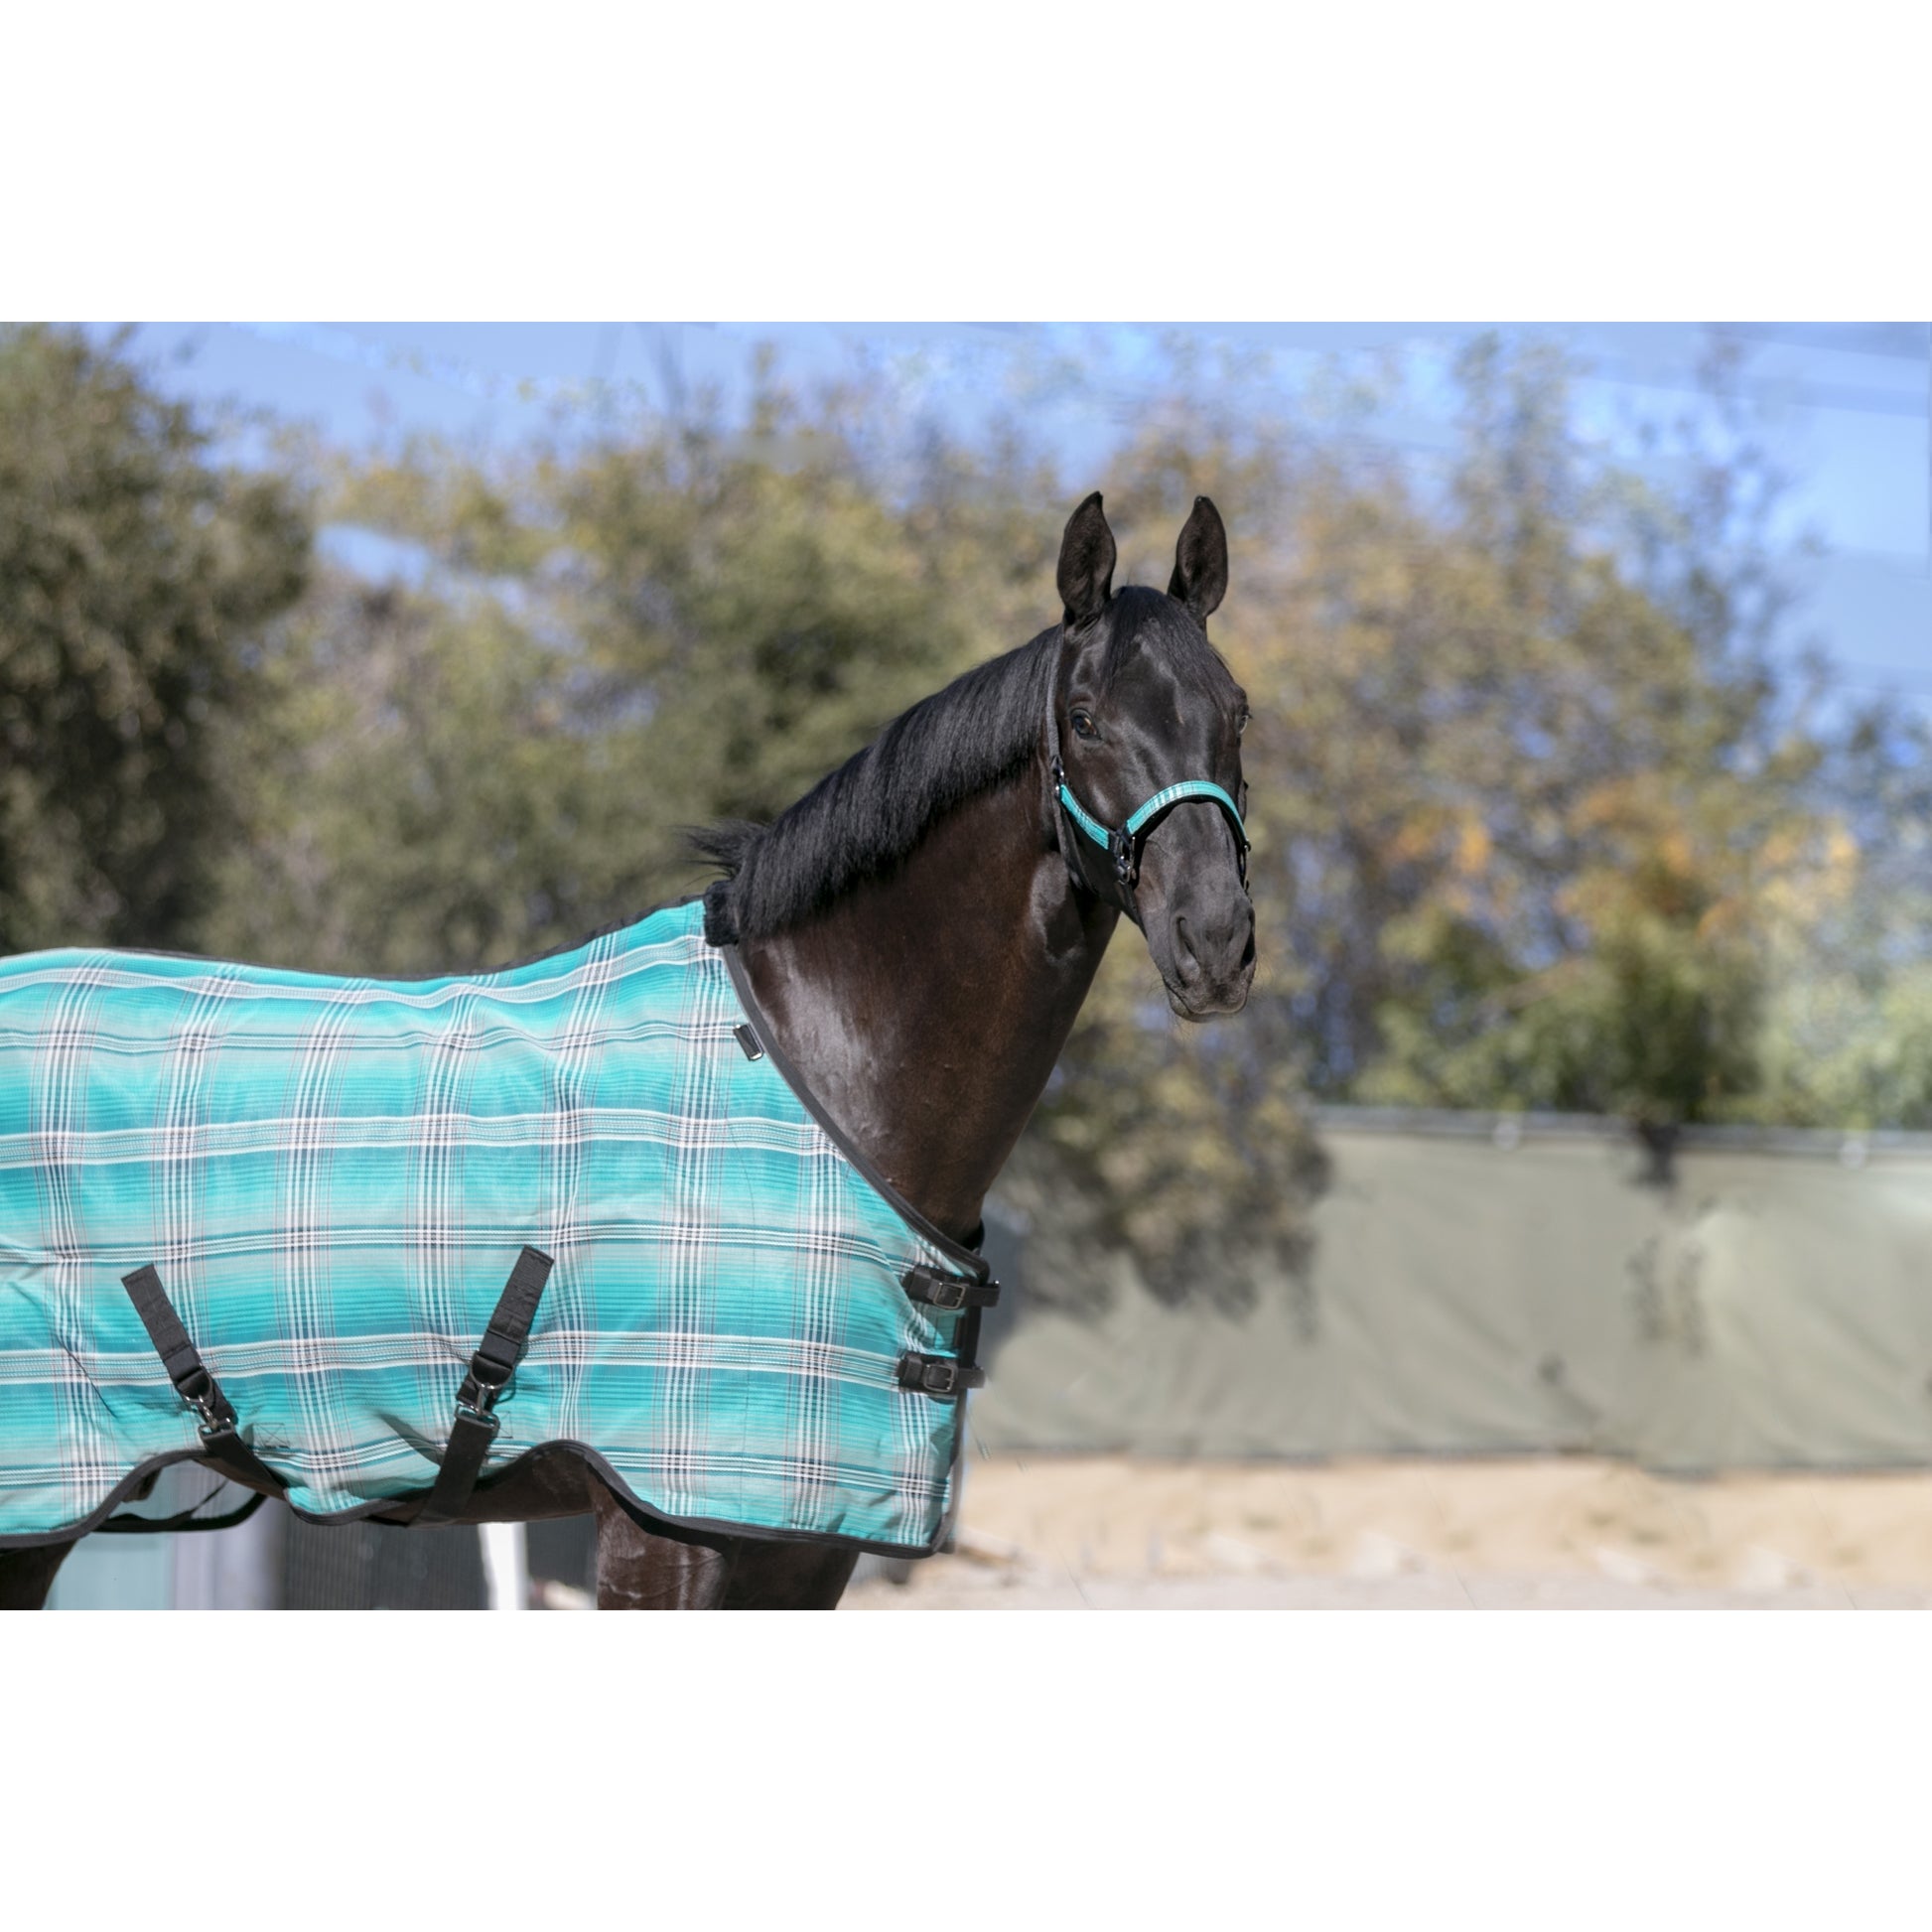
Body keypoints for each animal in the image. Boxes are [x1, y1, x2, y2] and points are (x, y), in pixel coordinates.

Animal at [0, 489, 1254, 1611]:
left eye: (1234, 712)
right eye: (1084, 714)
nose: (1214, 940)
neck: (816, 1076)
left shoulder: (801, 1551)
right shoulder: (666, 1532)